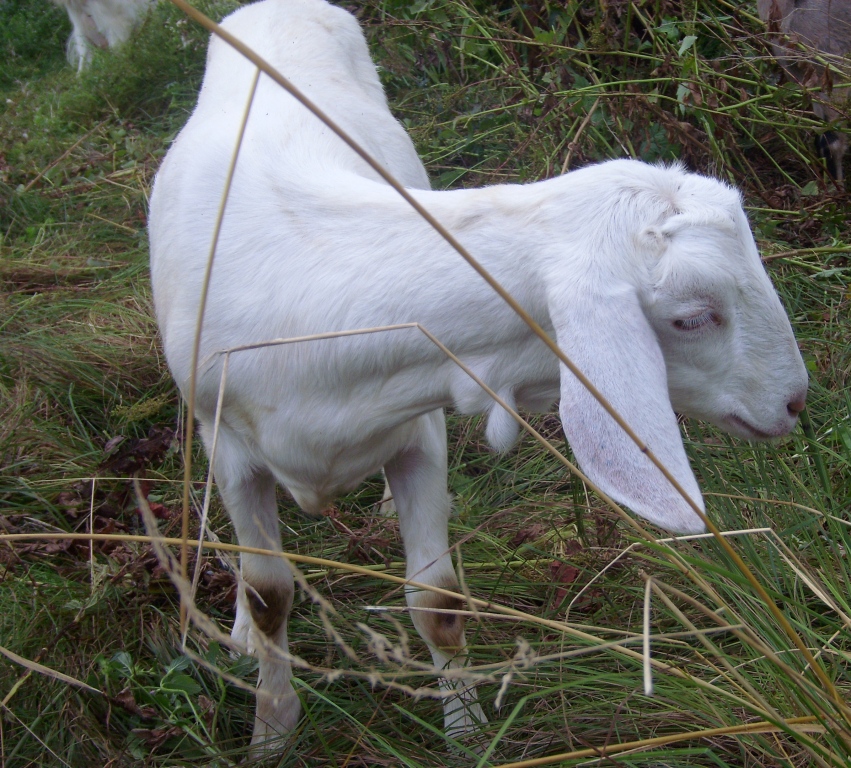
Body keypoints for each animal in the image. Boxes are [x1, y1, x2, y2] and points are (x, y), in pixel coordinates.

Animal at [150, 0, 808, 752]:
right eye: (692, 318)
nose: (794, 401)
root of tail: (279, 7)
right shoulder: (233, 446)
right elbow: (270, 594)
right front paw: (272, 731)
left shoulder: (416, 429)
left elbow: (437, 600)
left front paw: (465, 732)